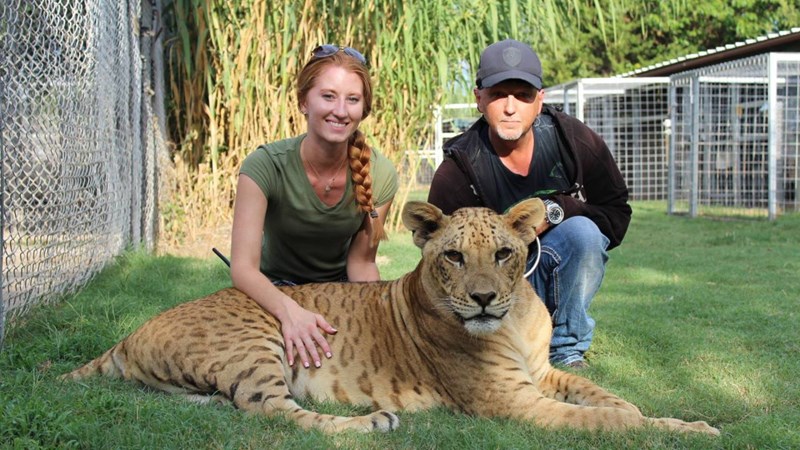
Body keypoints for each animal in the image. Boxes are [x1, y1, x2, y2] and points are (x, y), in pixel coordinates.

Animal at [62, 198, 719, 435]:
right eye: (453, 257)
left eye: (504, 255)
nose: (484, 299)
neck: (511, 322)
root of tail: (128, 334)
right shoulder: (510, 401)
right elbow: (607, 421)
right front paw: (683, 429)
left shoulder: (541, 372)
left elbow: (601, 392)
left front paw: (651, 410)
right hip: (258, 340)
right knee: (276, 415)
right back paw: (374, 423)